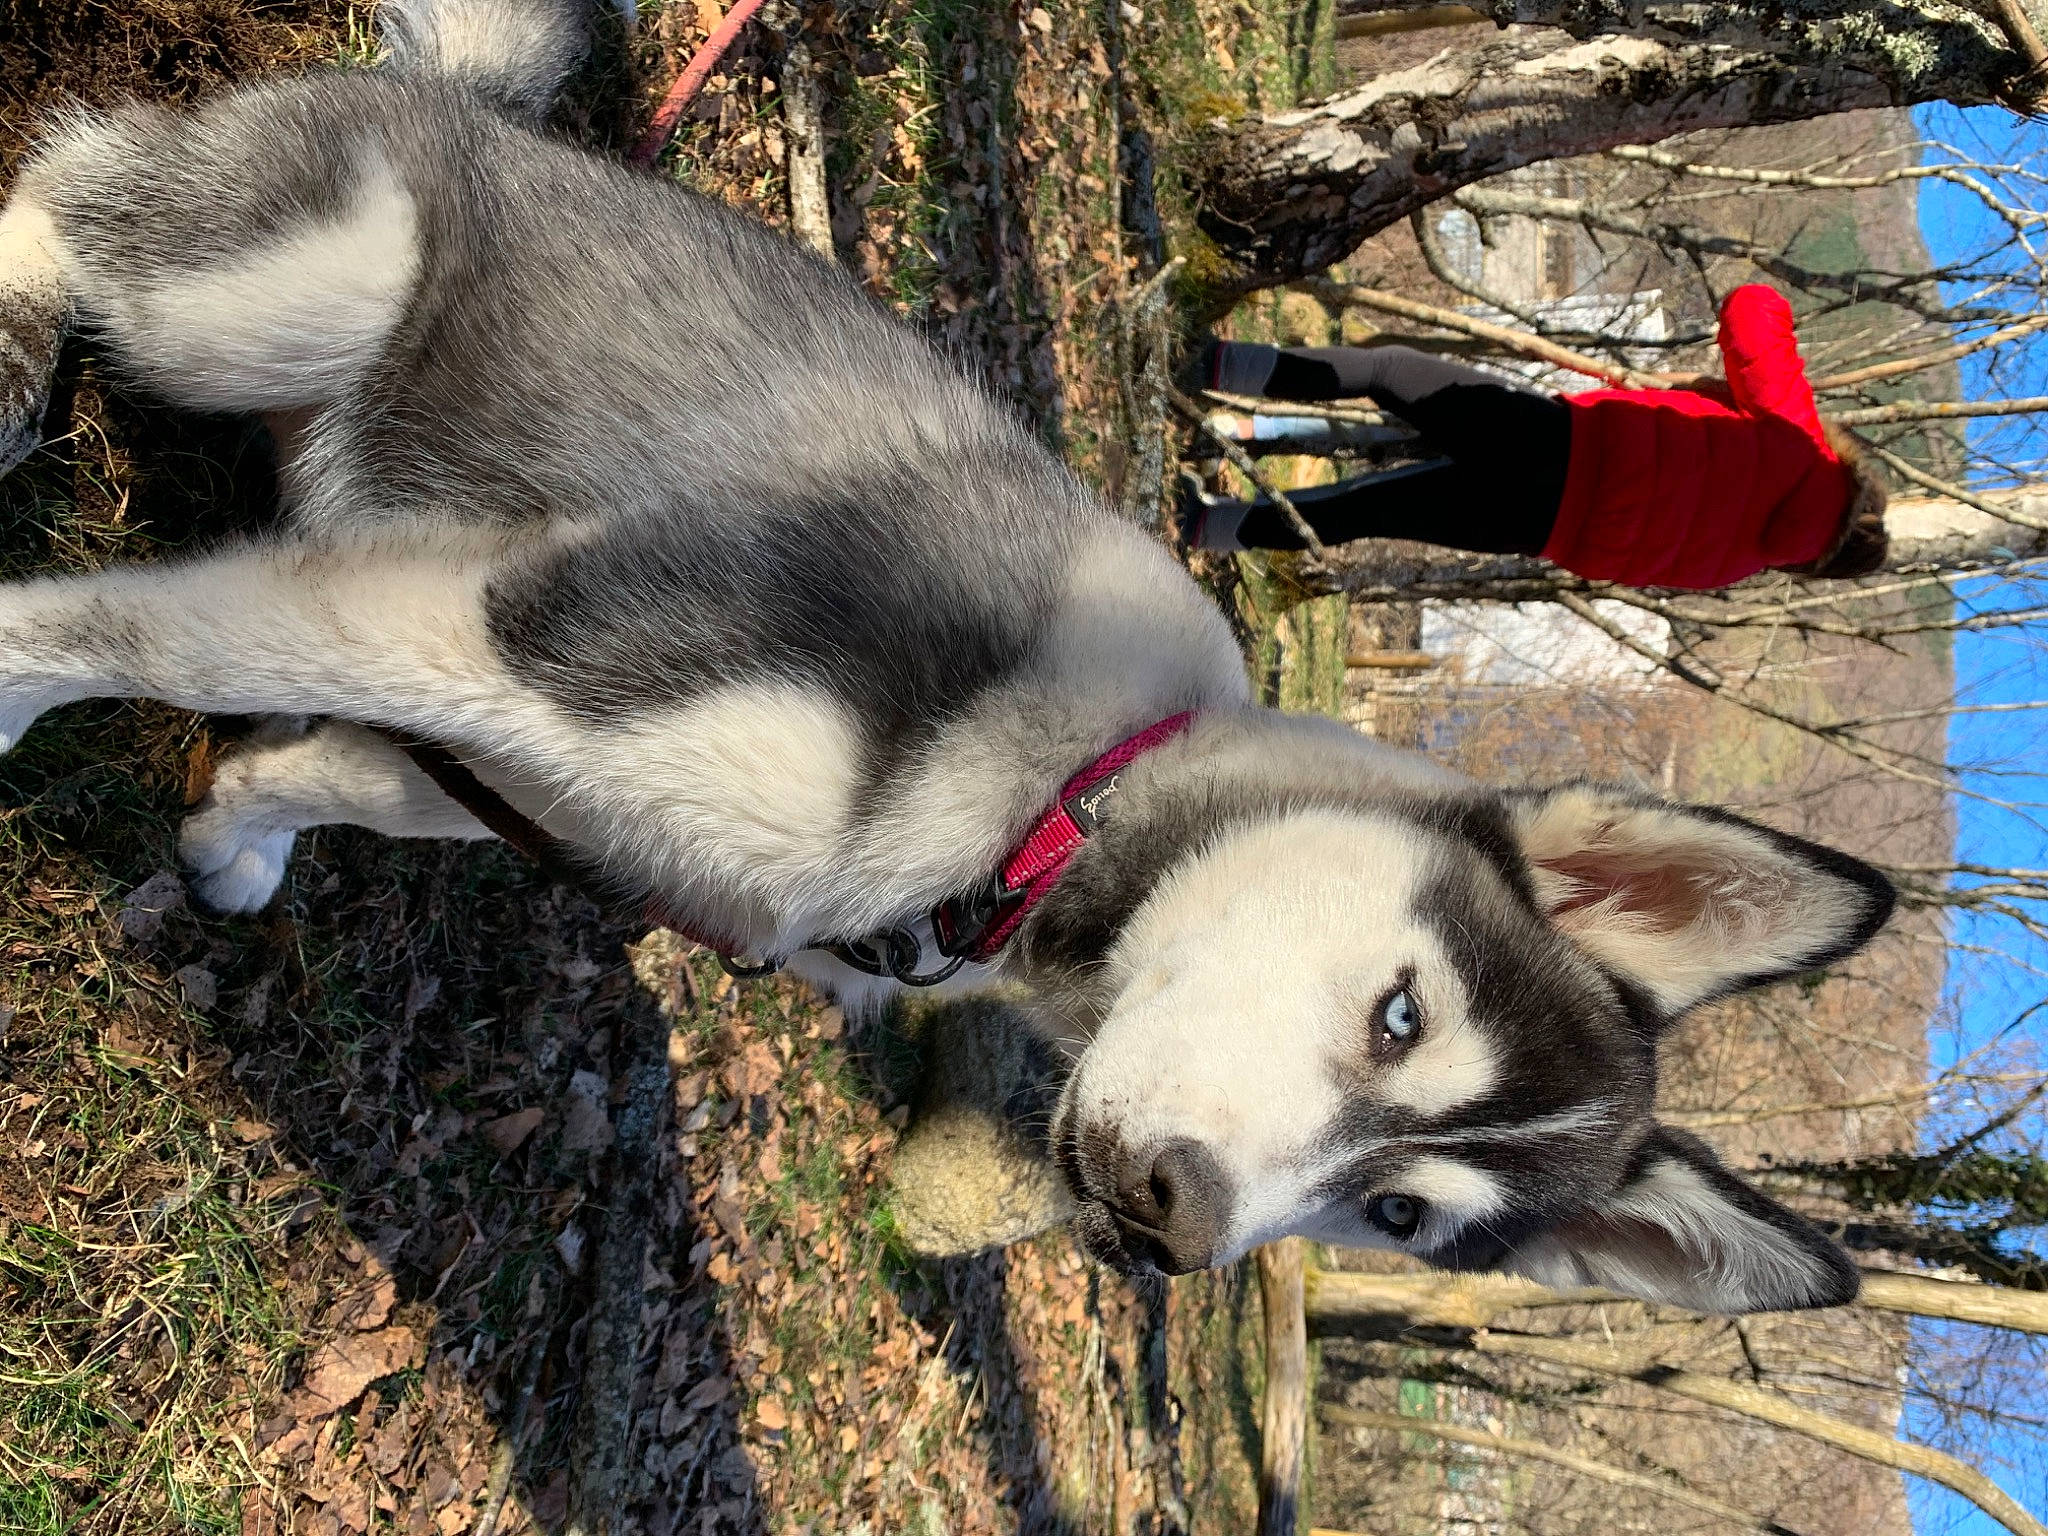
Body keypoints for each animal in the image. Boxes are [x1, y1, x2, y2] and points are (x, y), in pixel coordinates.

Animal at [0, 0, 1893, 1309]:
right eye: (1400, 1010)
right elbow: (141, 630)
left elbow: (343, 767)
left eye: (1397, 1214)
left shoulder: (564, 757)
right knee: (64, 183)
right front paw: (23, 681)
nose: (1168, 1224)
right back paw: (21, 334)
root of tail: (477, 110)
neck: (1052, 809)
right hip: (282, 293)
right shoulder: (523, 633)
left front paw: (243, 828)